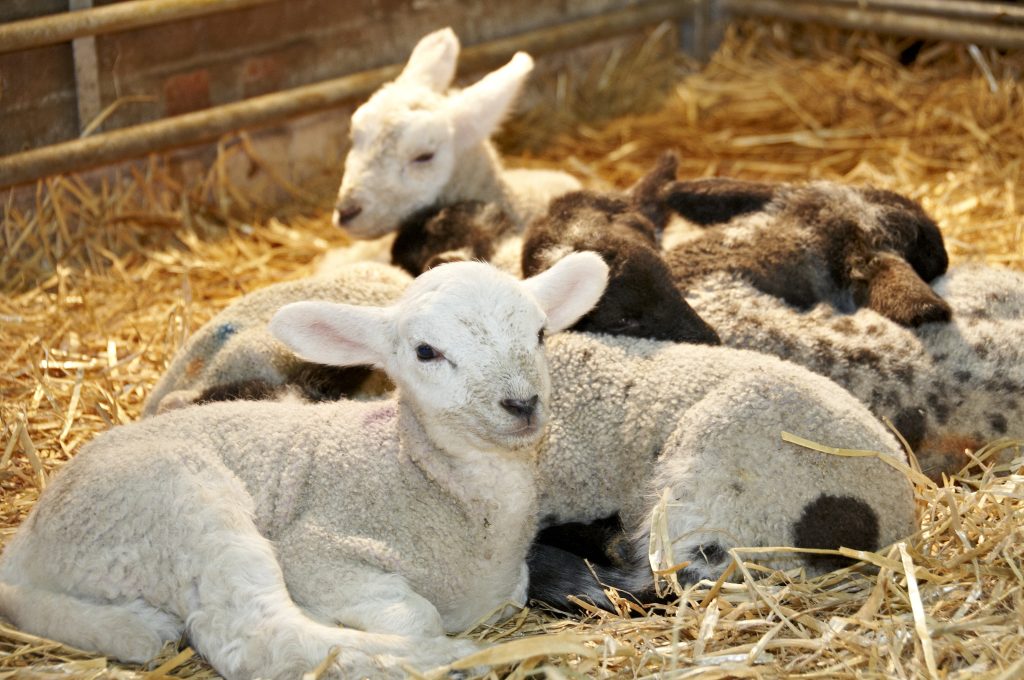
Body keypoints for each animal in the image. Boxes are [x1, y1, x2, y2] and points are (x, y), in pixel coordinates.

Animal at [0, 253, 611, 679]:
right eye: (426, 352)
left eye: (539, 334)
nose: (522, 404)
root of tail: (27, 541)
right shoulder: (317, 549)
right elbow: (418, 614)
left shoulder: (508, 582)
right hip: (178, 511)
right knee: (259, 636)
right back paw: (444, 659)